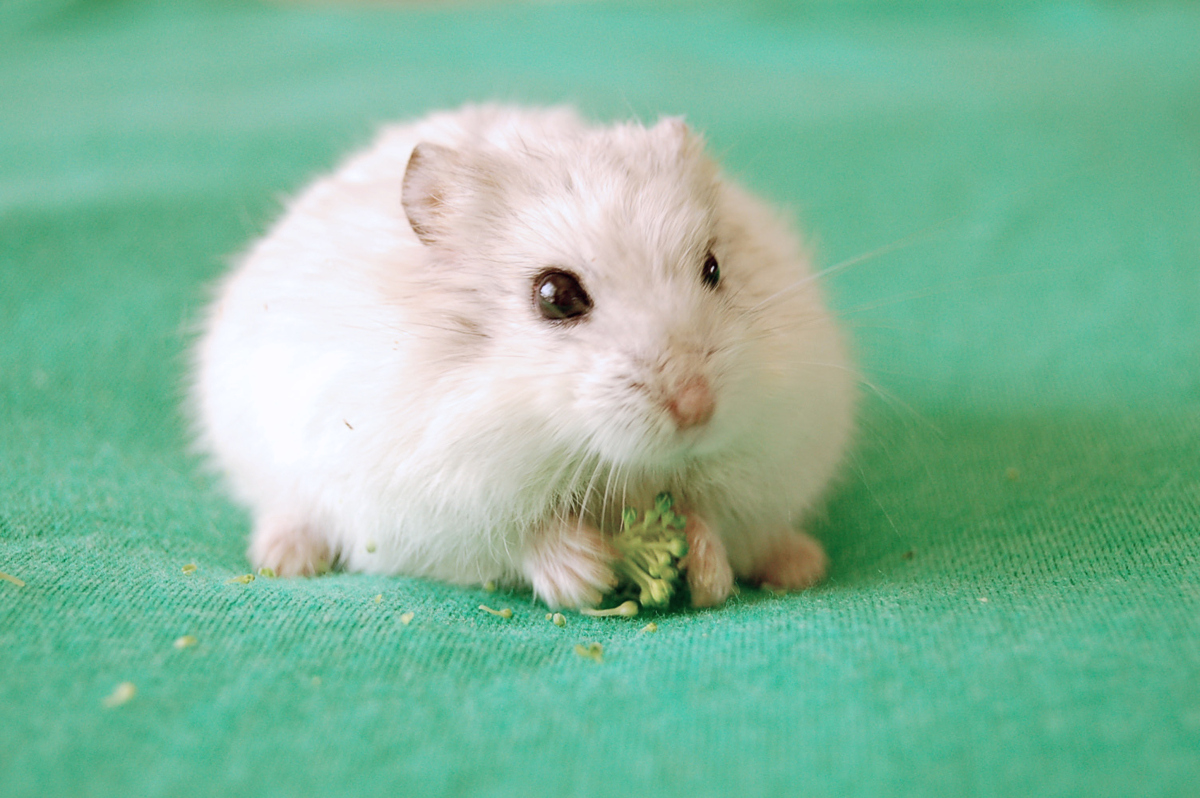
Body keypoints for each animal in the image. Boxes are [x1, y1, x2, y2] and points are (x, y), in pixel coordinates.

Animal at [189, 104, 854, 604]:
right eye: (555, 296)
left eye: (714, 268)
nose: (696, 409)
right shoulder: (428, 499)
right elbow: (519, 537)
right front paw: (588, 576)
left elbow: (711, 515)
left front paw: (707, 575)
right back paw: (286, 558)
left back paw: (800, 564)